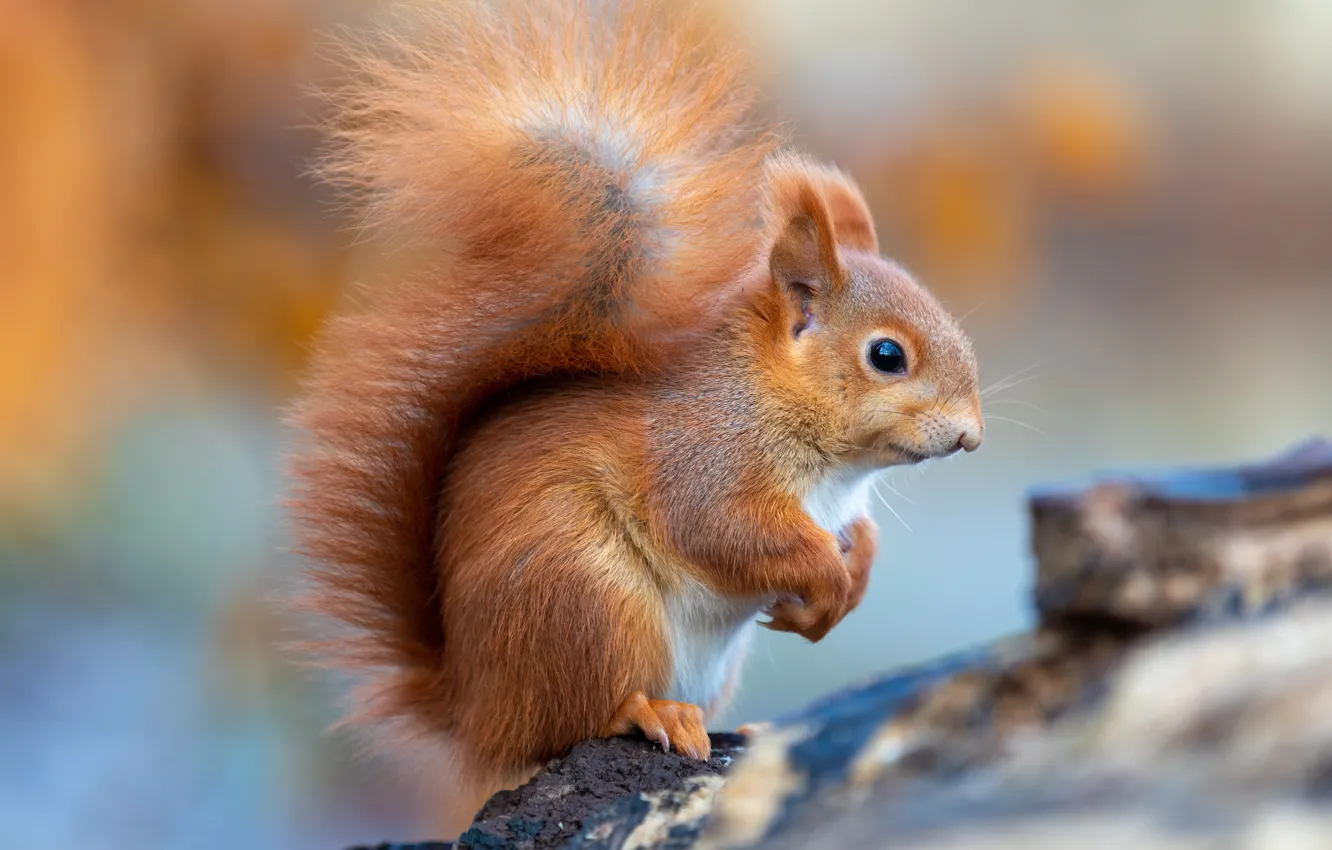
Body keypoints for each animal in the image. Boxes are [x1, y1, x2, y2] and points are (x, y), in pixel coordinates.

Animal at [288, 0, 982, 832]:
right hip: (583, 599)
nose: (971, 435)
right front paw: (824, 577)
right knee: (573, 721)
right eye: (886, 355)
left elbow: (858, 540)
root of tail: (472, 707)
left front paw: (845, 588)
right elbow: (724, 530)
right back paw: (653, 713)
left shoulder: (837, 504)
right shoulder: (702, 456)